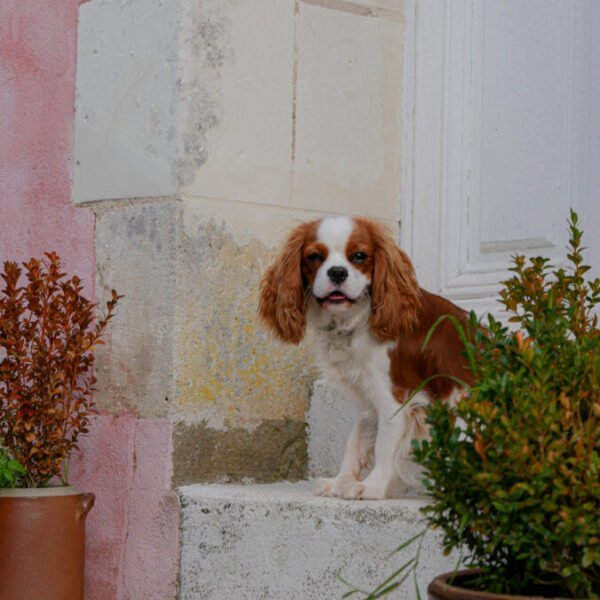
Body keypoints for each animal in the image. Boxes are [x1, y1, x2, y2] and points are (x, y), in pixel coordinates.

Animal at [260, 214, 472, 496]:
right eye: (315, 256)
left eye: (359, 256)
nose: (337, 272)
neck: (355, 321)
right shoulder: (368, 400)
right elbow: (356, 442)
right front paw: (342, 482)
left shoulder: (394, 399)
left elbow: (384, 446)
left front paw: (372, 487)